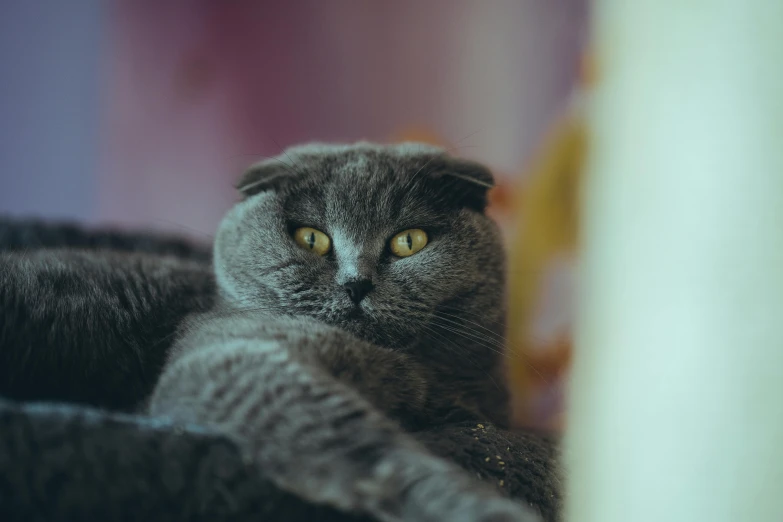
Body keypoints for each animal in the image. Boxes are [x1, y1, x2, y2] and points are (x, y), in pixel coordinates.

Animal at [1, 142, 540, 520]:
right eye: (311, 237)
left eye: (409, 241)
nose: (356, 284)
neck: (424, 371)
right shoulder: (230, 355)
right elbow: (365, 446)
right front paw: (477, 507)